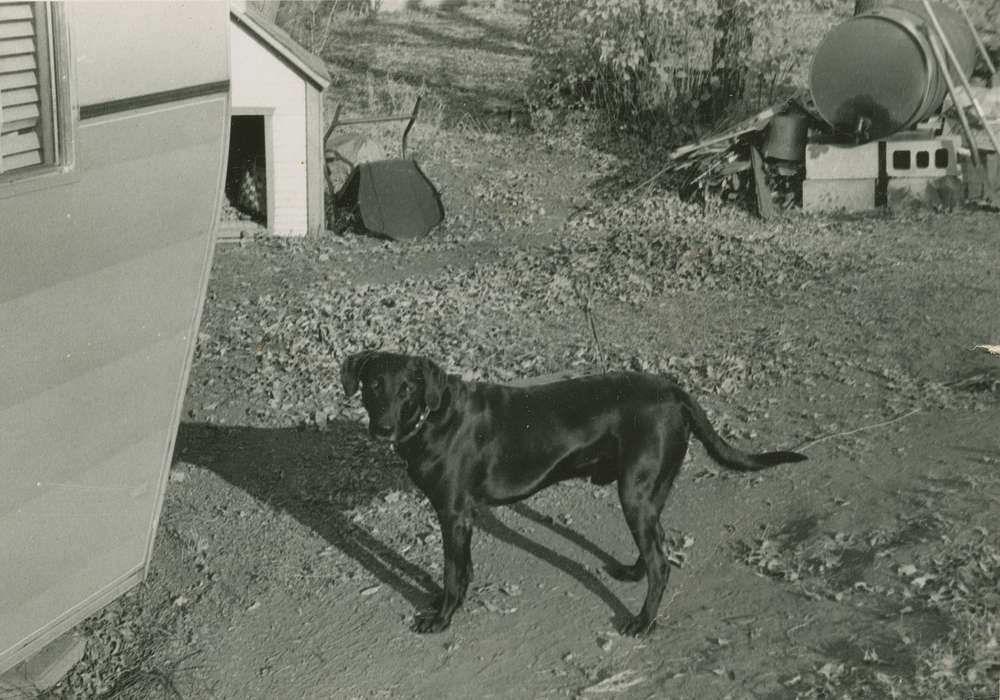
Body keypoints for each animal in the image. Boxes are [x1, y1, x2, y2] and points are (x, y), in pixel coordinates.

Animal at [342, 352, 804, 636]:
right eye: (372, 385)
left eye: (407, 389)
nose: (382, 428)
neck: (434, 417)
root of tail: (674, 392)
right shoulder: (461, 516)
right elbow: (458, 571)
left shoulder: (454, 514)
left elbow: (455, 572)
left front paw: (442, 617)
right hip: (650, 489)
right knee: (657, 544)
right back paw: (632, 573)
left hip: (634, 491)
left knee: (661, 564)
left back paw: (643, 622)